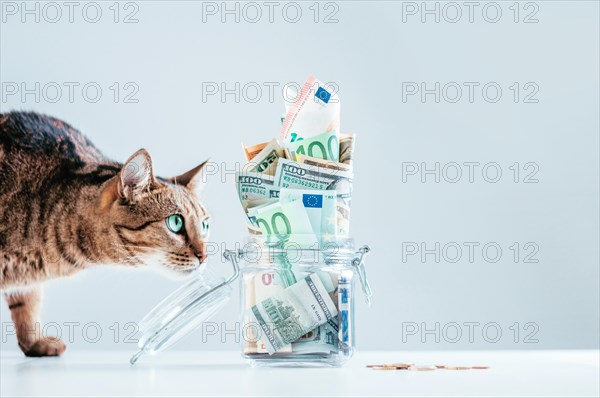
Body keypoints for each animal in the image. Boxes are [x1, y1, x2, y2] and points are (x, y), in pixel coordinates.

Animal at [0, 111, 212, 358]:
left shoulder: (27, 285)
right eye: (175, 222)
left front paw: (34, 342)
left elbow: (27, 305)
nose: (204, 256)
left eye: (204, 225)